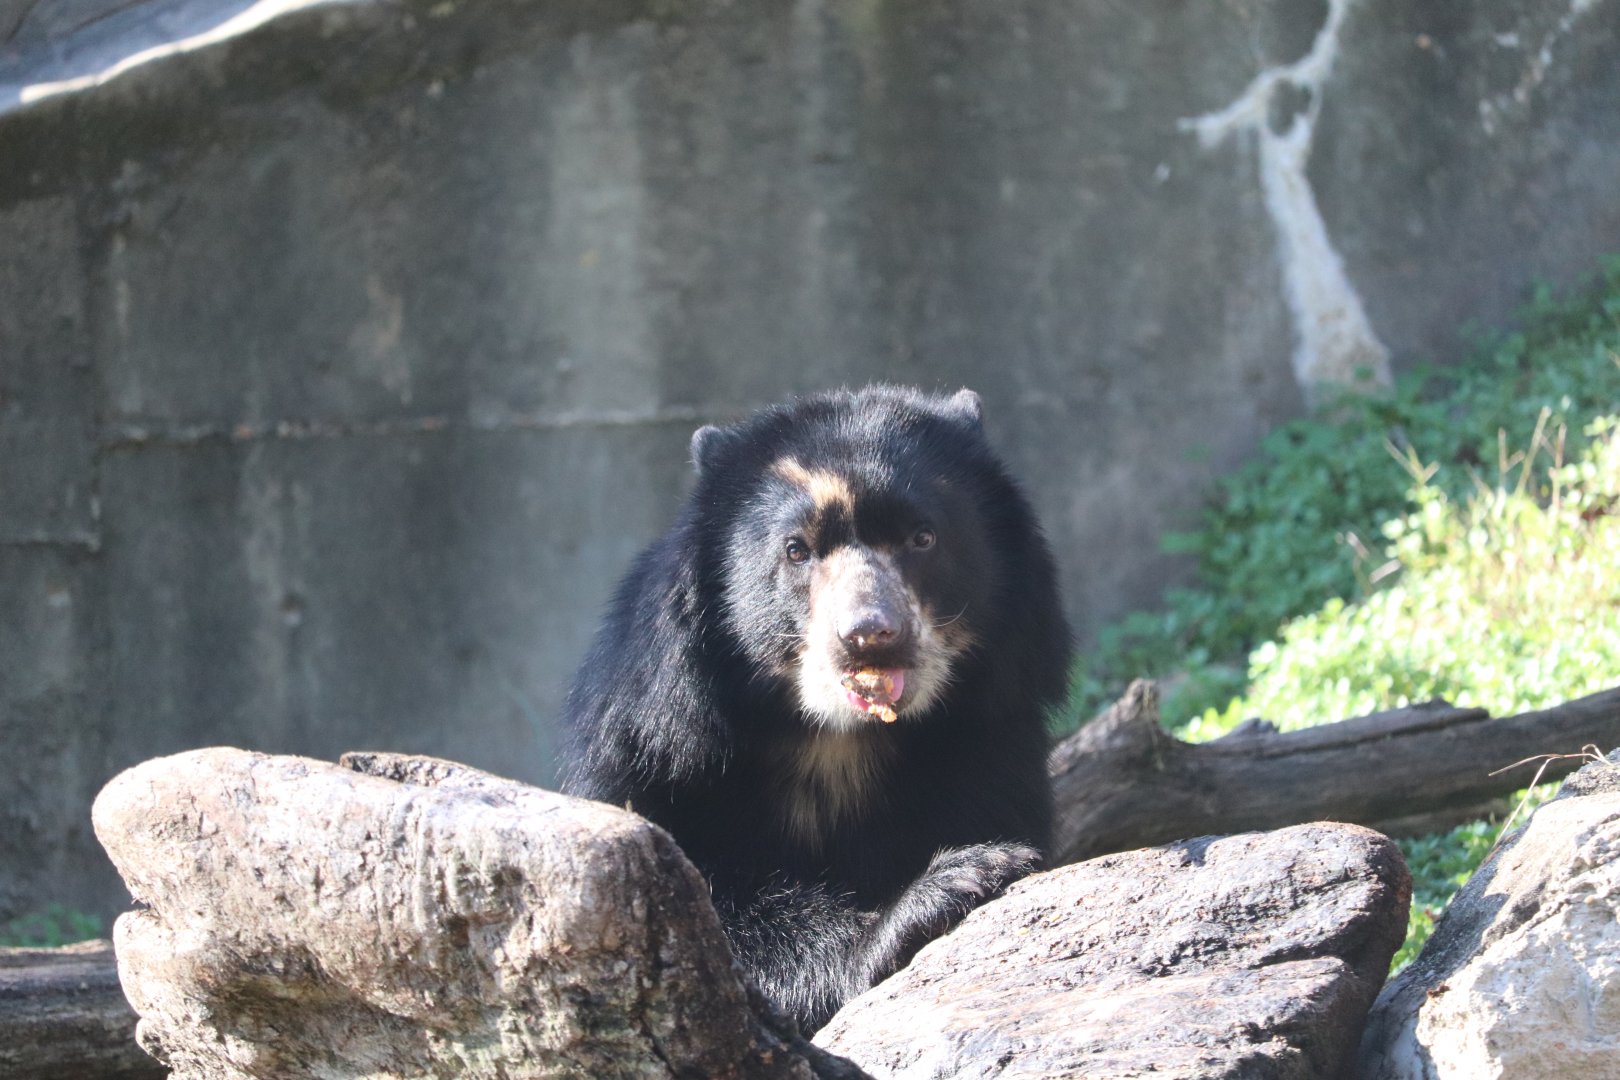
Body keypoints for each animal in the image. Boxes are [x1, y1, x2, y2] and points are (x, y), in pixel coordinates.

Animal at [559, 385, 1071, 1033]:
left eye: (922, 537)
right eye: (797, 550)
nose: (871, 634)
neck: (835, 736)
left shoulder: (993, 737)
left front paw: (993, 863)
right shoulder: (657, 749)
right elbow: (705, 918)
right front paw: (948, 886)